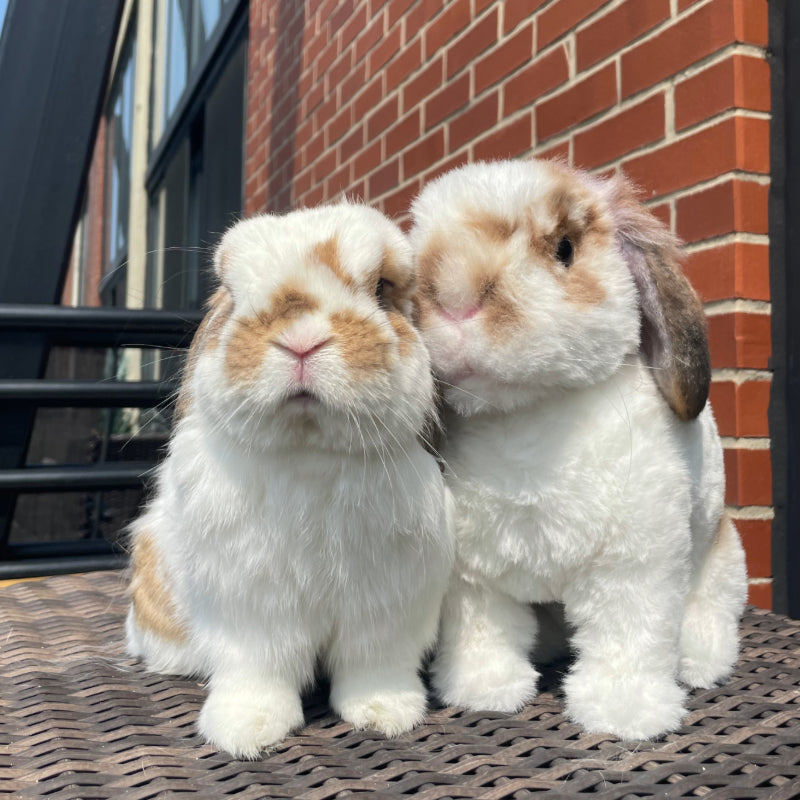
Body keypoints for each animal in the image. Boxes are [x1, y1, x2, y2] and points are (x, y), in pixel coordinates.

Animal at [125, 202, 454, 758]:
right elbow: (257, 669)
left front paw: (385, 715)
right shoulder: (251, 608)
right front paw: (245, 731)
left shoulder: (387, 604)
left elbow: (375, 666)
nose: (301, 341)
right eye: (231, 292)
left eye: (382, 288)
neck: (308, 452)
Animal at [408, 159, 747, 740]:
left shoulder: (634, 568)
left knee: (710, 611)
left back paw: (700, 662)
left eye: (564, 248)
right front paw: (485, 692)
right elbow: (484, 635)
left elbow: (627, 640)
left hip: (722, 558)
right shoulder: (474, 581)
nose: (454, 299)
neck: (523, 415)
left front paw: (624, 714)